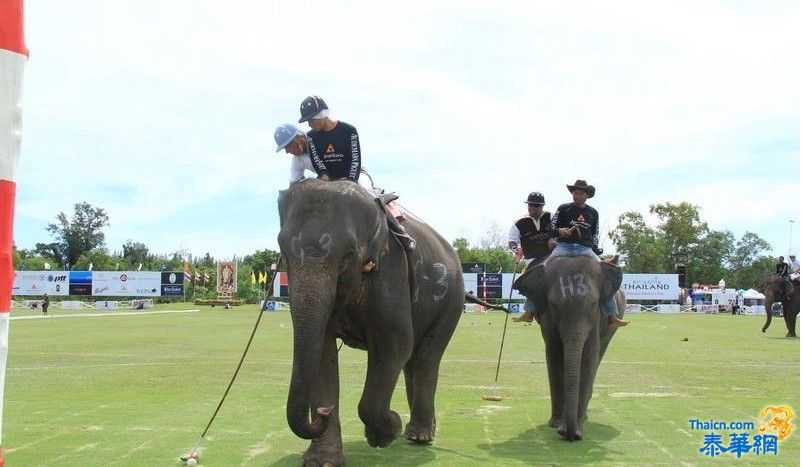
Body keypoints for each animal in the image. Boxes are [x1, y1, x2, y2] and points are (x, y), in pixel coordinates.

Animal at [276, 177, 462, 466]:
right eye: (282, 250)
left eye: (349, 254)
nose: (322, 412)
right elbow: (322, 354)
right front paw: (322, 460)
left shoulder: (390, 270)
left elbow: (394, 345)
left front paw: (385, 432)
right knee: (413, 359)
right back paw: (416, 432)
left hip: (452, 300)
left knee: (425, 357)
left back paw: (419, 435)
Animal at [512, 256, 624, 442]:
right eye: (553, 304)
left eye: (594, 303)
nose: (569, 436)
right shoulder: (547, 316)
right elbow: (555, 354)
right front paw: (557, 424)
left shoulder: (597, 317)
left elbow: (589, 357)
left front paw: (575, 430)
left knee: (600, 353)